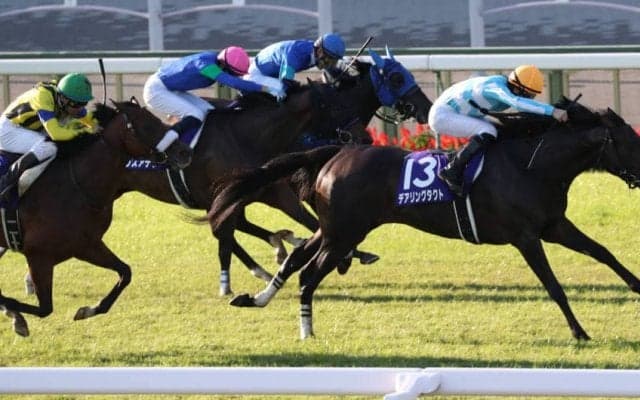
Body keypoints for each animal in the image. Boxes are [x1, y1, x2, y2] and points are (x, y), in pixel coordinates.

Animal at [0, 100, 192, 337]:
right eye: (147, 124)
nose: (185, 152)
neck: (77, 185)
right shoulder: (38, 255)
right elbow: (44, 308)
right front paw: (15, 316)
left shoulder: (86, 246)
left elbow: (125, 272)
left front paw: (87, 310)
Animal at [119, 47, 433, 296]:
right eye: (397, 78)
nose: (426, 108)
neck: (247, 135)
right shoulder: (281, 191)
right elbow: (309, 222)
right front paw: (339, 255)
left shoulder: (270, 190)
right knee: (228, 229)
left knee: (234, 226)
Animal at [206, 99, 640, 340]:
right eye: (630, 140)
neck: (531, 165)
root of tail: (336, 154)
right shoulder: (526, 237)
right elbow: (554, 286)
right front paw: (579, 332)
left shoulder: (553, 226)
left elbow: (605, 253)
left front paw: (637, 287)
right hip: (344, 234)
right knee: (309, 274)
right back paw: (306, 329)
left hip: (332, 229)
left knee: (296, 259)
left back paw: (257, 299)